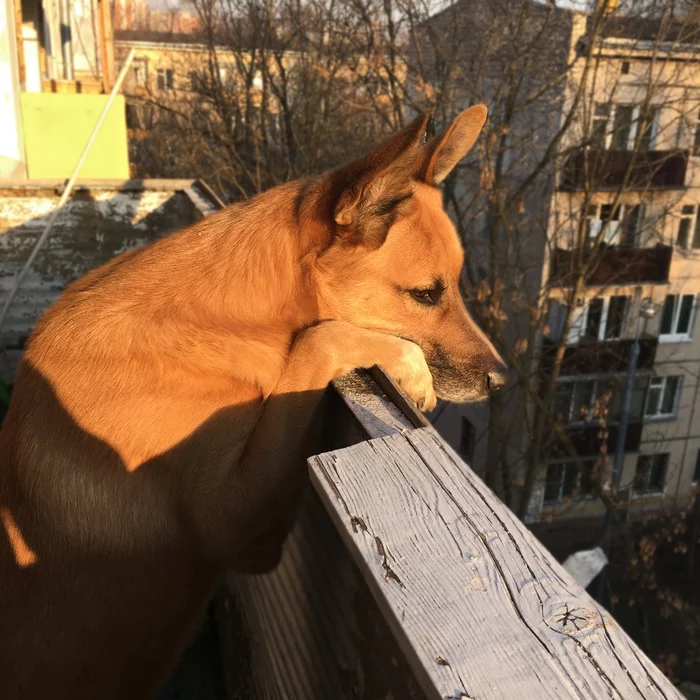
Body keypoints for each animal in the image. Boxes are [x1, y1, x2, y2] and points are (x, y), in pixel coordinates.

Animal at [0, 106, 504, 696]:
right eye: (426, 294)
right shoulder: (237, 526)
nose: (502, 380)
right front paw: (409, 368)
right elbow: (320, 339)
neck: (224, 317)